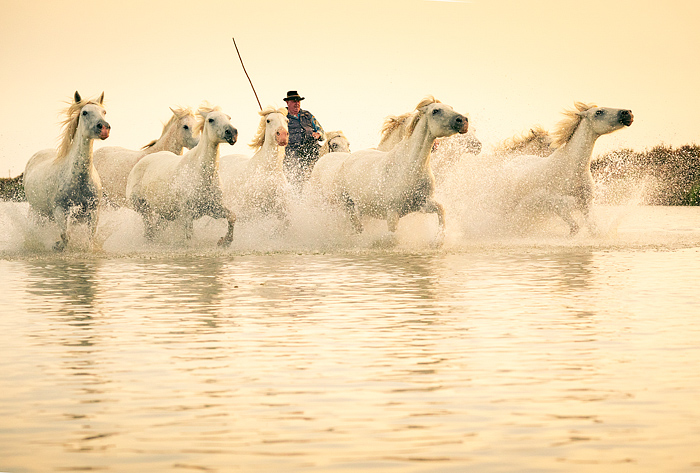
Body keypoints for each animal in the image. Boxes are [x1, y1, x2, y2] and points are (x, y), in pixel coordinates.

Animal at [23, 89, 110, 251]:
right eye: (85, 112)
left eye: (104, 112)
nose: (104, 128)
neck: (79, 178)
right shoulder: (59, 210)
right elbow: (65, 236)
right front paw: (58, 246)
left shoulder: (93, 211)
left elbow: (90, 237)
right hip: (37, 212)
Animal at [129, 104, 241, 245]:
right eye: (211, 119)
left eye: (228, 117)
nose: (232, 133)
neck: (202, 175)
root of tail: (141, 162)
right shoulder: (187, 214)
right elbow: (188, 237)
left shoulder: (213, 208)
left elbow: (232, 216)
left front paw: (224, 241)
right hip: (142, 206)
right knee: (149, 226)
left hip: (165, 213)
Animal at [308, 97, 468, 243]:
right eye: (435, 111)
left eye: (451, 107)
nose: (463, 120)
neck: (409, 168)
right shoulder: (392, 213)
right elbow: (393, 238)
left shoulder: (422, 204)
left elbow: (441, 210)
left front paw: (437, 241)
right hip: (346, 206)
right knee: (355, 227)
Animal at [504, 102, 636, 234]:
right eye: (599, 112)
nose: (628, 113)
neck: (573, 167)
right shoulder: (558, 206)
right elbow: (575, 228)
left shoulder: (585, 204)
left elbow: (592, 229)